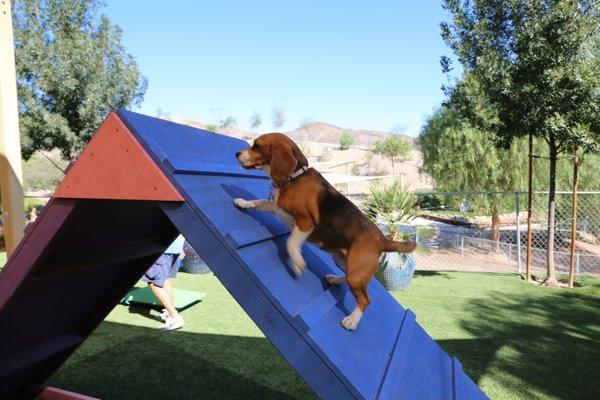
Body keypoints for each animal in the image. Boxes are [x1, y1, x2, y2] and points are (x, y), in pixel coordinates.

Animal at [232, 133, 414, 330]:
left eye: (257, 146)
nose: (237, 153)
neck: (294, 177)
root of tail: (382, 239)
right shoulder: (276, 207)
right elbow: (258, 202)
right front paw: (243, 202)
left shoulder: (306, 222)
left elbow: (291, 242)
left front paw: (297, 264)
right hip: (344, 263)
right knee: (348, 278)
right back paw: (334, 279)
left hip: (357, 273)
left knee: (365, 300)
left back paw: (352, 320)